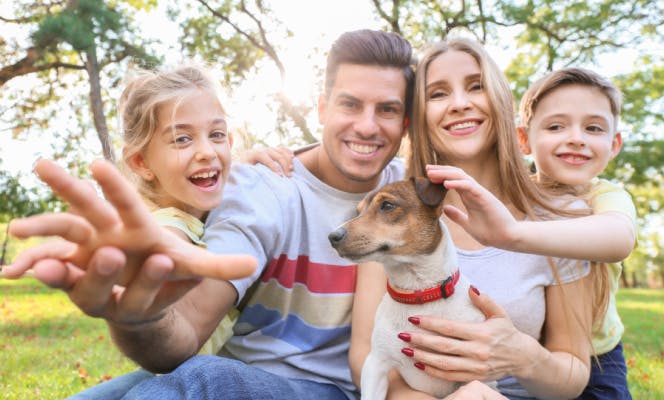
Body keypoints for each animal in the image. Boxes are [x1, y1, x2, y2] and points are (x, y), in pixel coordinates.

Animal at [328, 178, 488, 400]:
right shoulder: (375, 365)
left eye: (387, 205)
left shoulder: (474, 374)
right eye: (358, 211)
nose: (332, 236)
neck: (418, 293)